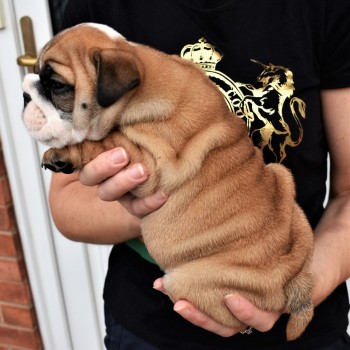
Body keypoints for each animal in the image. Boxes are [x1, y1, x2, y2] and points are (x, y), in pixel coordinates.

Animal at [23, 23, 316, 340]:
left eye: (57, 86)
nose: (24, 95)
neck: (139, 82)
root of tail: (292, 275)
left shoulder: (147, 158)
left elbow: (102, 143)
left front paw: (63, 153)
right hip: (281, 177)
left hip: (189, 279)